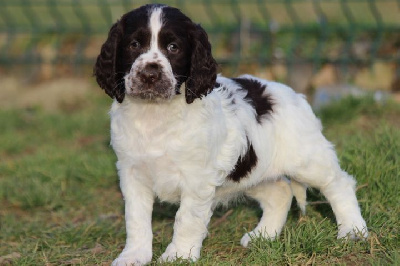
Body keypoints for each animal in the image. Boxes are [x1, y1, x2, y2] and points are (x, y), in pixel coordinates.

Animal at [94, 3, 368, 264]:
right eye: (134, 45)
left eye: (173, 47)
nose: (150, 74)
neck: (154, 114)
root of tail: (291, 93)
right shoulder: (132, 173)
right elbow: (136, 219)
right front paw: (133, 256)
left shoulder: (197, 178)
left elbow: (186, 219)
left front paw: (178, 256)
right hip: (251, 173)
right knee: (281, 192)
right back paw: (263, 236)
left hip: (306, 159)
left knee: (339, 183)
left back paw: (353, 231)